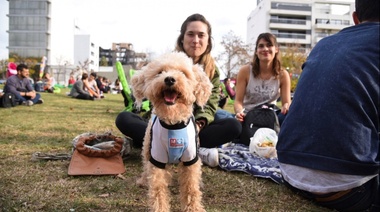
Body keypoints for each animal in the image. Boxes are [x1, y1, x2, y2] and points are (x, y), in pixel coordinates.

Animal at [132, 51, 212, 212]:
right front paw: (160, 208)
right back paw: (143, 180)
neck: (173, 122)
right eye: (160, 72)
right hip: (147, 147)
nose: (169, 79)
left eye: (183, 73)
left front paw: (194, 208)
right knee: (146, 166)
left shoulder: (191, 160)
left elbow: (191, 188)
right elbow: (158, 190)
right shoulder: (157, 159)